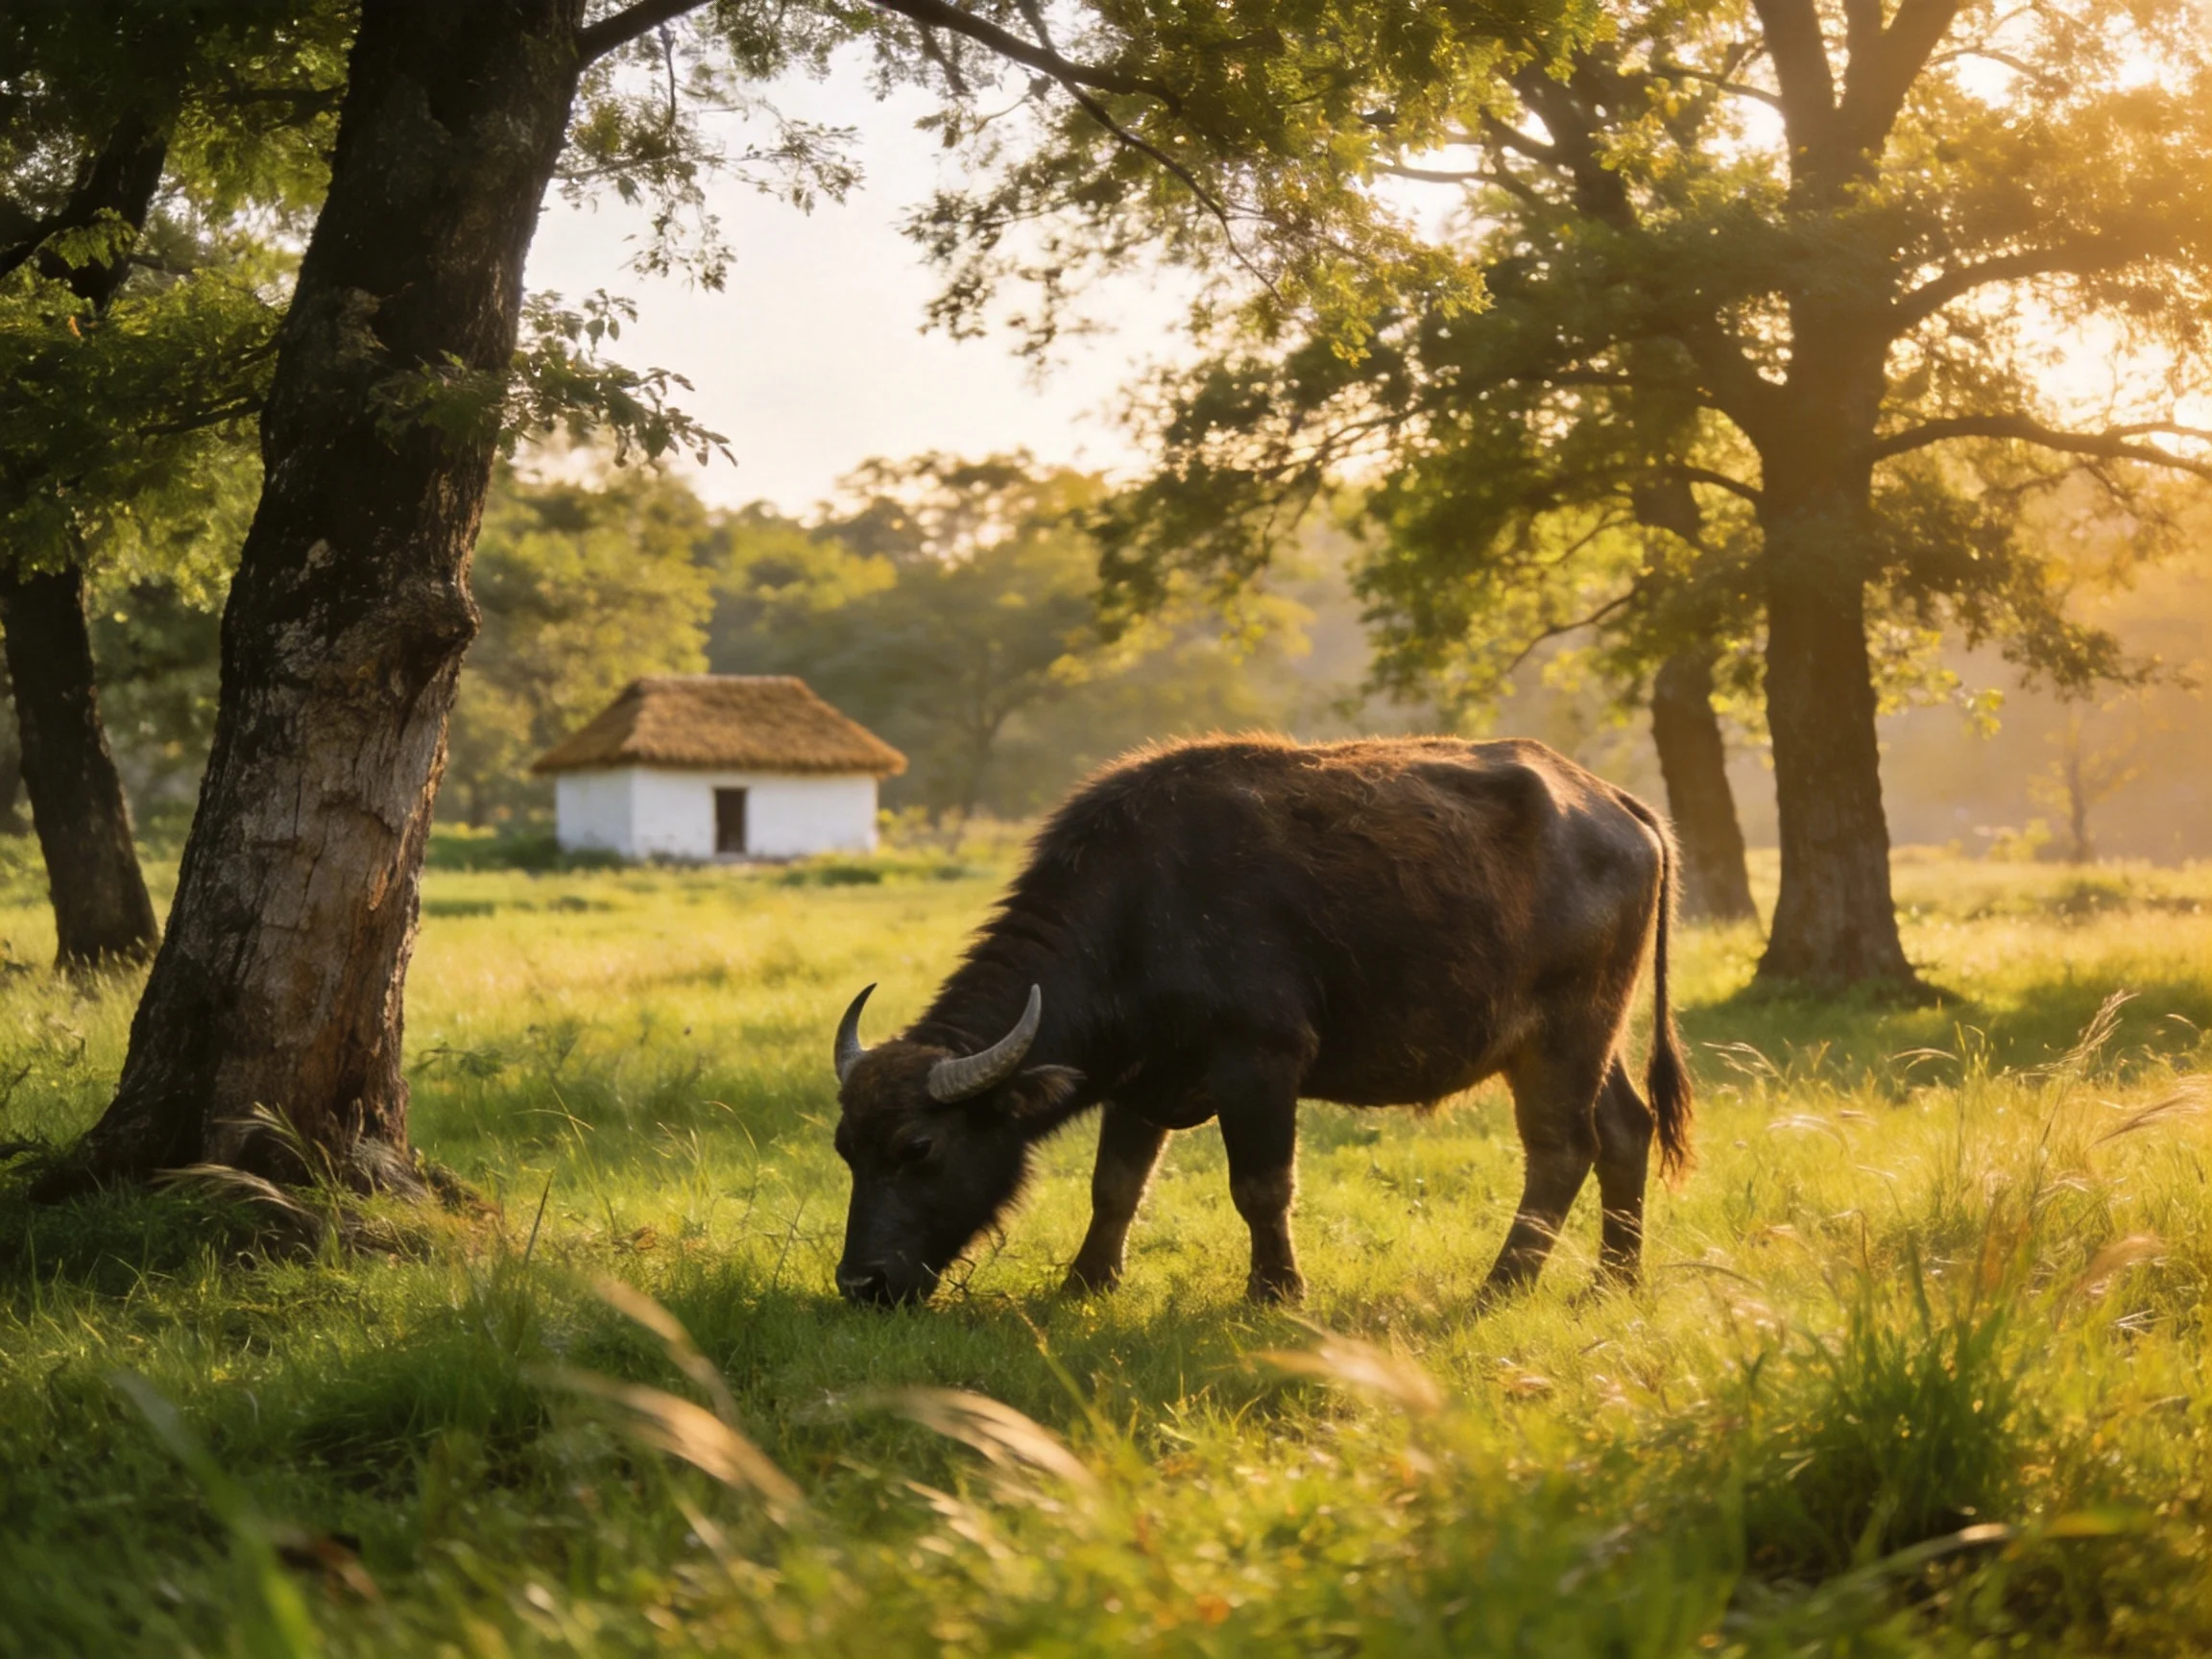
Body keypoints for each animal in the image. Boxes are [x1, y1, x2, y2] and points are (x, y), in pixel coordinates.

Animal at [830, 735, 1691, 1307]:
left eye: (919, 1146)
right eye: (845, 1148)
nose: (860, 1282)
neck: (1139, 911)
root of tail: (1620, 808)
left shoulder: (1260, 1064)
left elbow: (1261, 1186)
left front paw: (1275, 1290)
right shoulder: (1140, 1083)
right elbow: (1115, 1187)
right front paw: (1087, 1279)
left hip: (1566, 1034)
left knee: (1561, 1148)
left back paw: (1502, 1284)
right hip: (1597, 1034)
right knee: (1625, 1129)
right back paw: (1614, 1280)